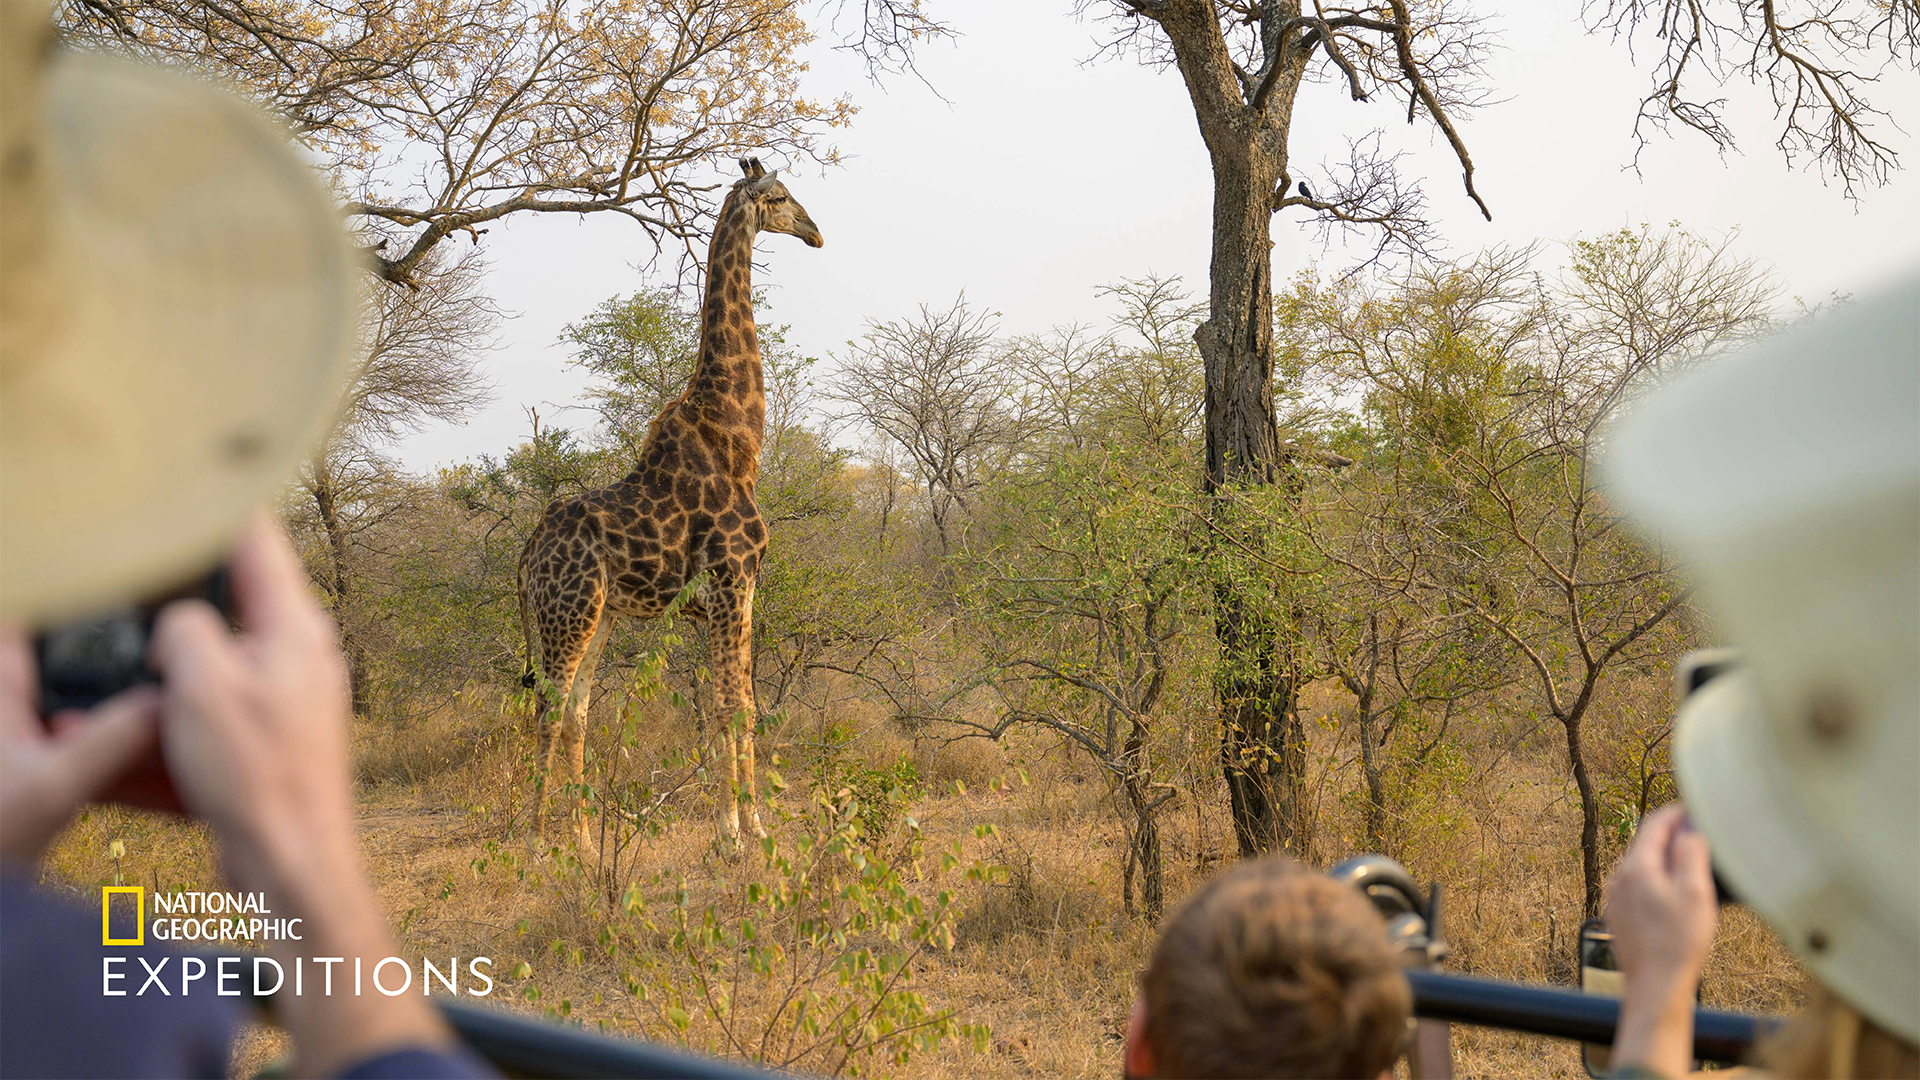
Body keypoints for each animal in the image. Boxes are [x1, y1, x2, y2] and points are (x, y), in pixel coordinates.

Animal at [518, 157, 825, 841]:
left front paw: (750, 825)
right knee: (547, 709)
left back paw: (582, 843)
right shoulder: (732, 581)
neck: (739, 437)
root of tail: (526, 555)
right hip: (567, 612)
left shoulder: (736, 592)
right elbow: (731, 707)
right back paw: (534, 842)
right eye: (780, 197)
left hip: (598, 615)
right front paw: (735, 831)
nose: (816, 232)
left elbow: (737, 703)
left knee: (576, 711)